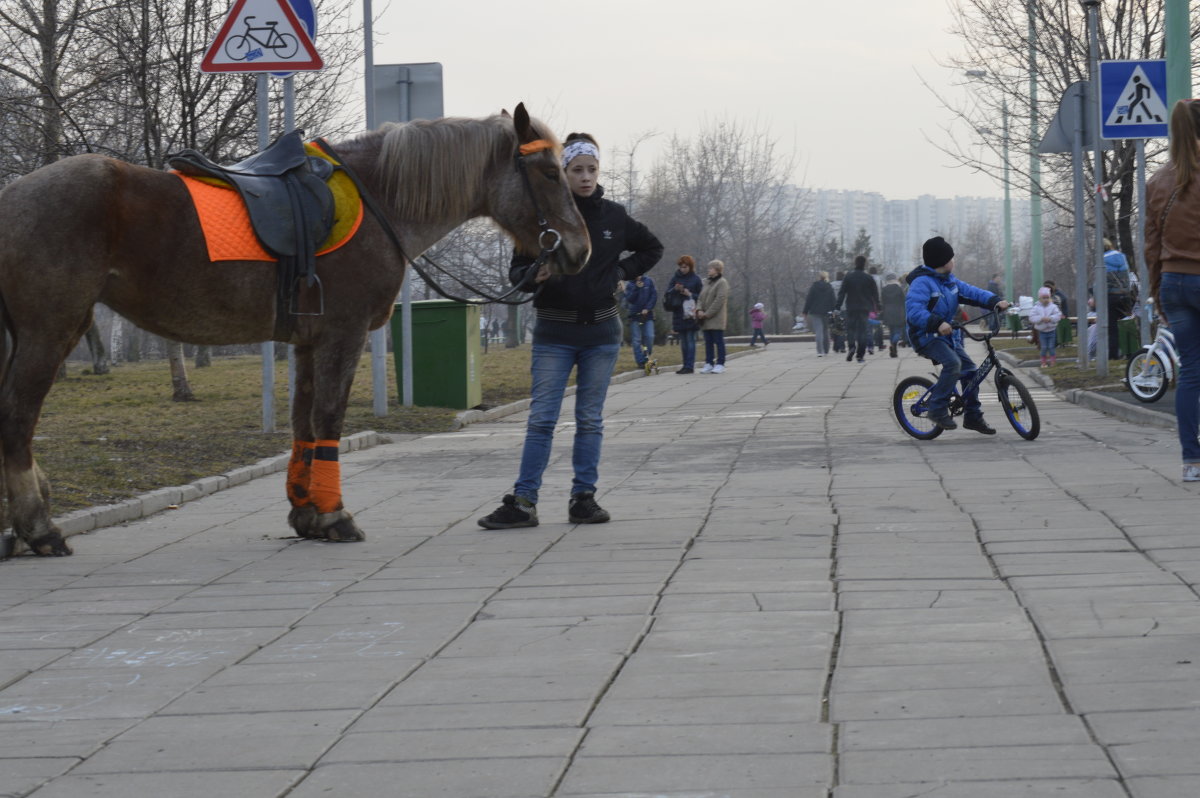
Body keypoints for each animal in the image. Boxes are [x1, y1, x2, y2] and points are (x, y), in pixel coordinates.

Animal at [0, 101, 590, 554]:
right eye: (549, 173)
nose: (580, 251)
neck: (378, 199)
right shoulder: (343, 336)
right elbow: (328, 418)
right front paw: (333, 516)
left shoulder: (308, 343)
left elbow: (303, 424)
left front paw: (306, 514)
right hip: (50, 332)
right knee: (18, 417)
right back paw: (39, 528)